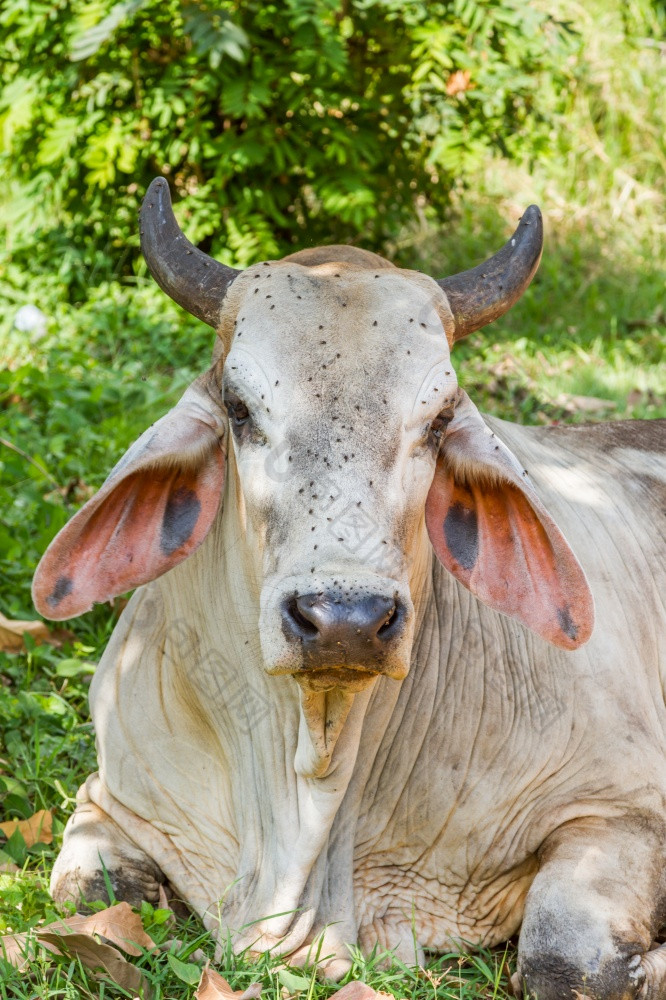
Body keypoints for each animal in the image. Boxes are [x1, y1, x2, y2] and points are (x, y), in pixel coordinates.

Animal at [32, 180, 664, 1000]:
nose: (344, 620)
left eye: (439, 420)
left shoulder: (624, 810)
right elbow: (90, 897)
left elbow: (568, 959)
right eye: (239, 409)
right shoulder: (106, 800)